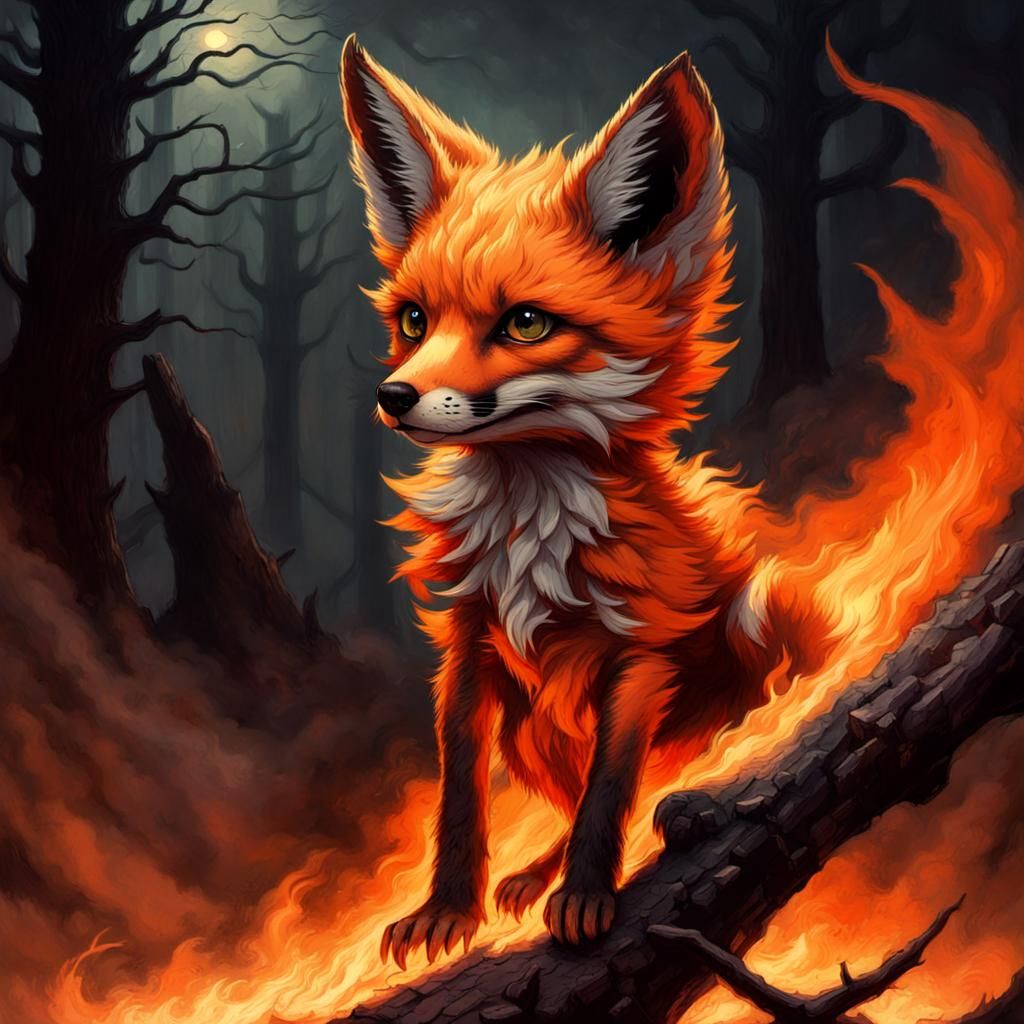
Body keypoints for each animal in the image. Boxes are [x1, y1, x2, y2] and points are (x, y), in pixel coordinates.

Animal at [337, 35, 1006, 967]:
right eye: (412, 319)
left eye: (526, 324)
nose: (394, 397)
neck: (529, 535)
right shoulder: (467, 647)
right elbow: (461, 800)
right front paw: (447, 910)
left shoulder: (641, 653)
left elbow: (610, 791)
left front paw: (585, 896)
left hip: (763, 619)